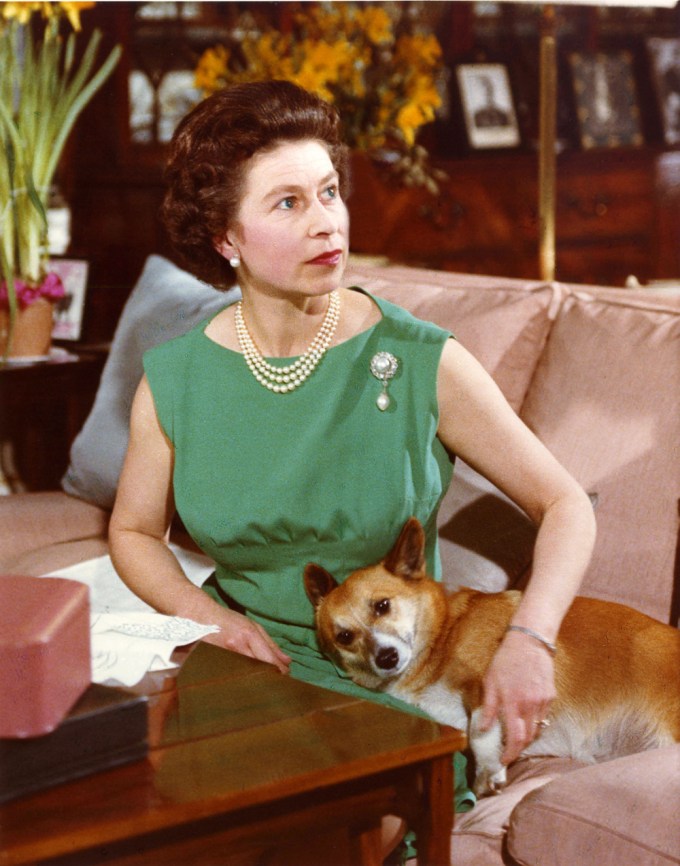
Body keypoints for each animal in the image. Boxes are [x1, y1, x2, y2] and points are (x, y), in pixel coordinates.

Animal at [304, 516, 680, 792]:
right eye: (345, 636)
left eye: (382, 605)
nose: (386, 658)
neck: (442, 638)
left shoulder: (492, 685)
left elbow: (479, 728)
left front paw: (487, 772)